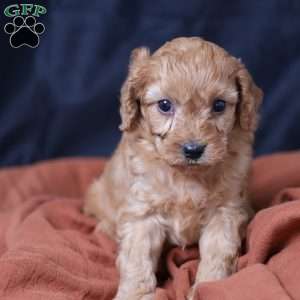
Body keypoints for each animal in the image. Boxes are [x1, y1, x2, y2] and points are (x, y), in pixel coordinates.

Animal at [84, 36, 262, 298]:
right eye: (165, 105)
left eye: (219, 105)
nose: (193, 149)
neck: (185, 175)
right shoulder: (142, 213)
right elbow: (137, 259)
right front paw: (134, 293)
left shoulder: (225, 212)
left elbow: (218, 254)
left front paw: (208, 287)